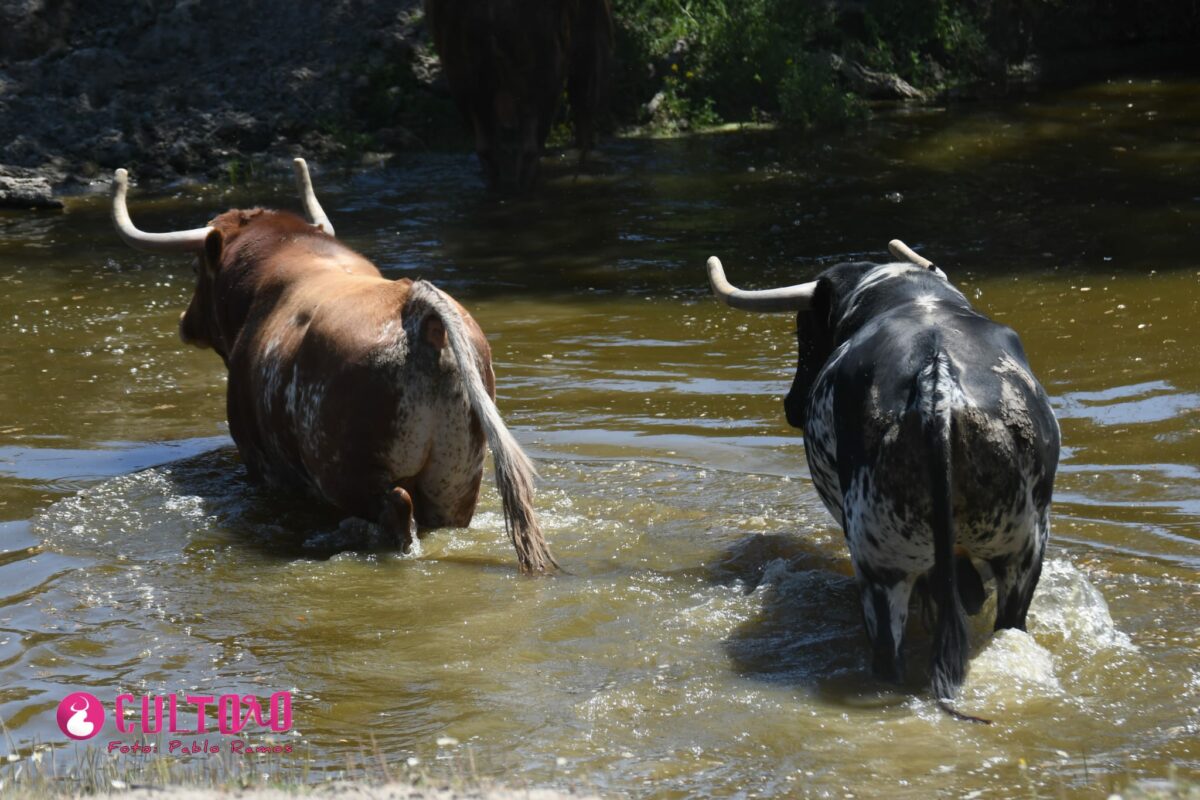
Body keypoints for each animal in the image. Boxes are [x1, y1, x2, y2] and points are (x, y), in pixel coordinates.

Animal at [112, 159, 552, 573]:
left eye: (194, 269)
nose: (186, 324)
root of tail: (417, 309)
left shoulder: (263, 467)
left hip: (353, 474)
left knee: (396, 510)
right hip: (456, 481)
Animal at [705, 247, 1056, 710]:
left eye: (805, 330)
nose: (792, 405)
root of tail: (937, 382)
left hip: (881, 565)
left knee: (888, 660)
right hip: (1021, 556)